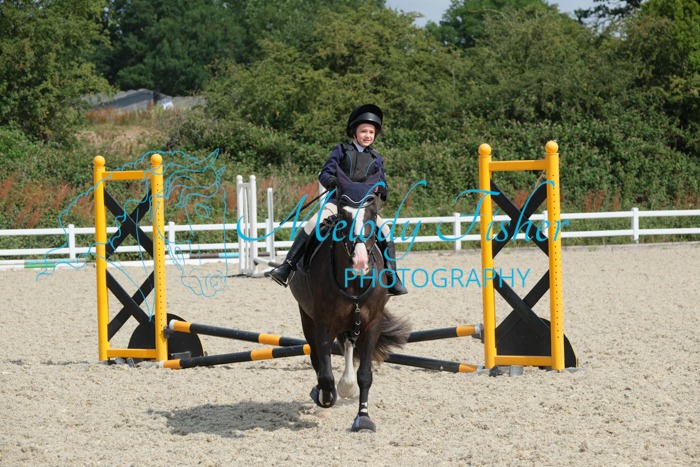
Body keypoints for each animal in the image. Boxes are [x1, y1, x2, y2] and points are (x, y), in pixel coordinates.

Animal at [288, 169, 411, 432]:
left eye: (372, 212)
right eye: (343, 214)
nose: (360, 262)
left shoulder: (372, 324)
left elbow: (365, 374)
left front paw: (363, 417)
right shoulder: (323, 324)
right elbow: (325, 373)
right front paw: (325, 396)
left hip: (352, 323)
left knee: (347, 346)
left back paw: (347, 385)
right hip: (308, 318)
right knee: (317, 358)